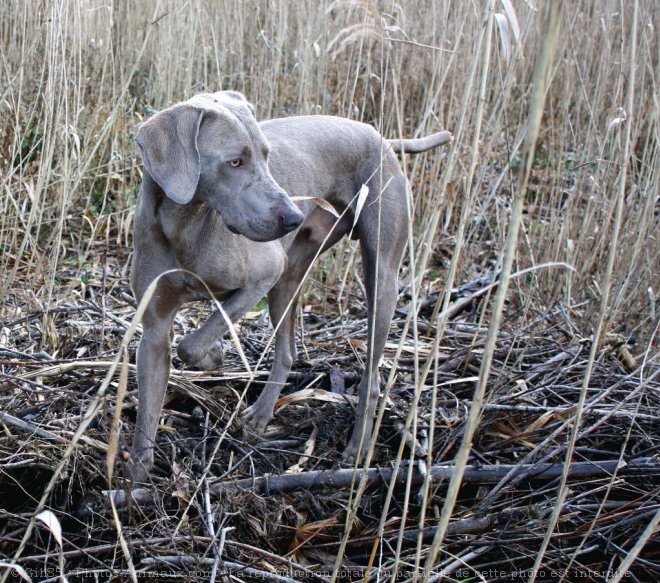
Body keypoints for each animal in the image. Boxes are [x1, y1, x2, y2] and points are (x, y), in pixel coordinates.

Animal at [129, 91, 452, 482]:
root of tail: (382, 139)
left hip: (377, 275)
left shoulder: (263, 275)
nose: (294, 217)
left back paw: (357, 450)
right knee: (287, 352)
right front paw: (136, 480)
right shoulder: (154, 329)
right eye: (234, 161)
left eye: (266, 155)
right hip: (290, 276)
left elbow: (191, 344)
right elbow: (148, 409)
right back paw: (261, 416)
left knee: (372, 377)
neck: (184, 225)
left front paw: (213, 356)